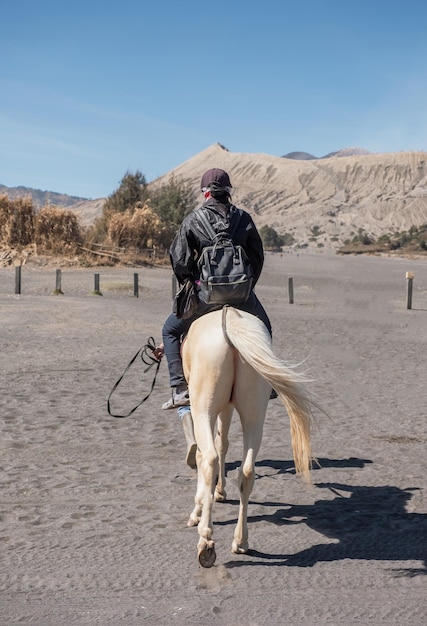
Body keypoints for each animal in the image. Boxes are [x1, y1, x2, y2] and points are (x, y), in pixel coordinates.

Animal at [181, 304, 314, 568]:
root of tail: (229, 320)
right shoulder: (229, 407)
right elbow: (223, 442)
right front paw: (220, 491)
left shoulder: (207, 410)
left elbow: (206, 453)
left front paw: (199, 509)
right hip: (254, 415)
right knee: (247, 471)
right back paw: (241, 541)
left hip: (203, 409)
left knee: (209, 458)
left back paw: (206, 542)